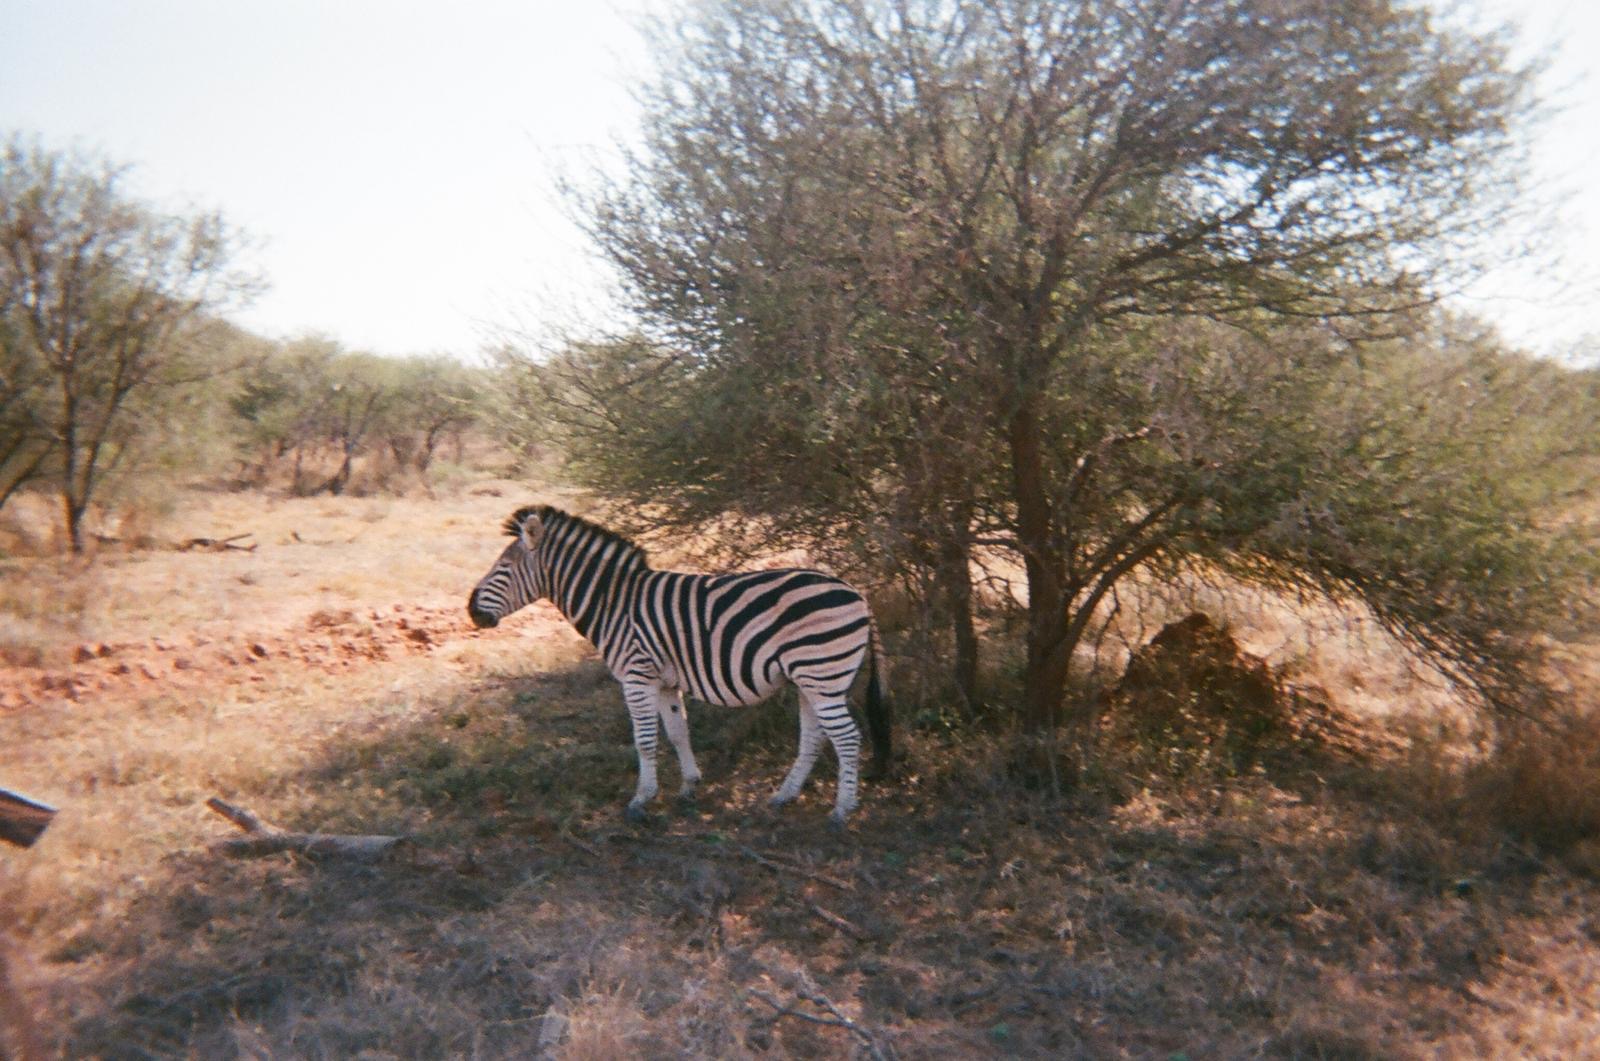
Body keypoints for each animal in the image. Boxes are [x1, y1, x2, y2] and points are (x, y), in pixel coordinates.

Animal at [467, 505, 892, 825]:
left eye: (503, 569)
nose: (471, 612)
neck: (612, 603)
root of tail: (858, 594)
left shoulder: (636, 676)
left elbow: (645, 740)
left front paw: (641, 799)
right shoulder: (666, 681)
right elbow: (678, 733)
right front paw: (689, 786)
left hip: (822, 673)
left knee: (847, 738)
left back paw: (841, 811)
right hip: (810, 679)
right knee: (814, 737)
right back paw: (784, 796)